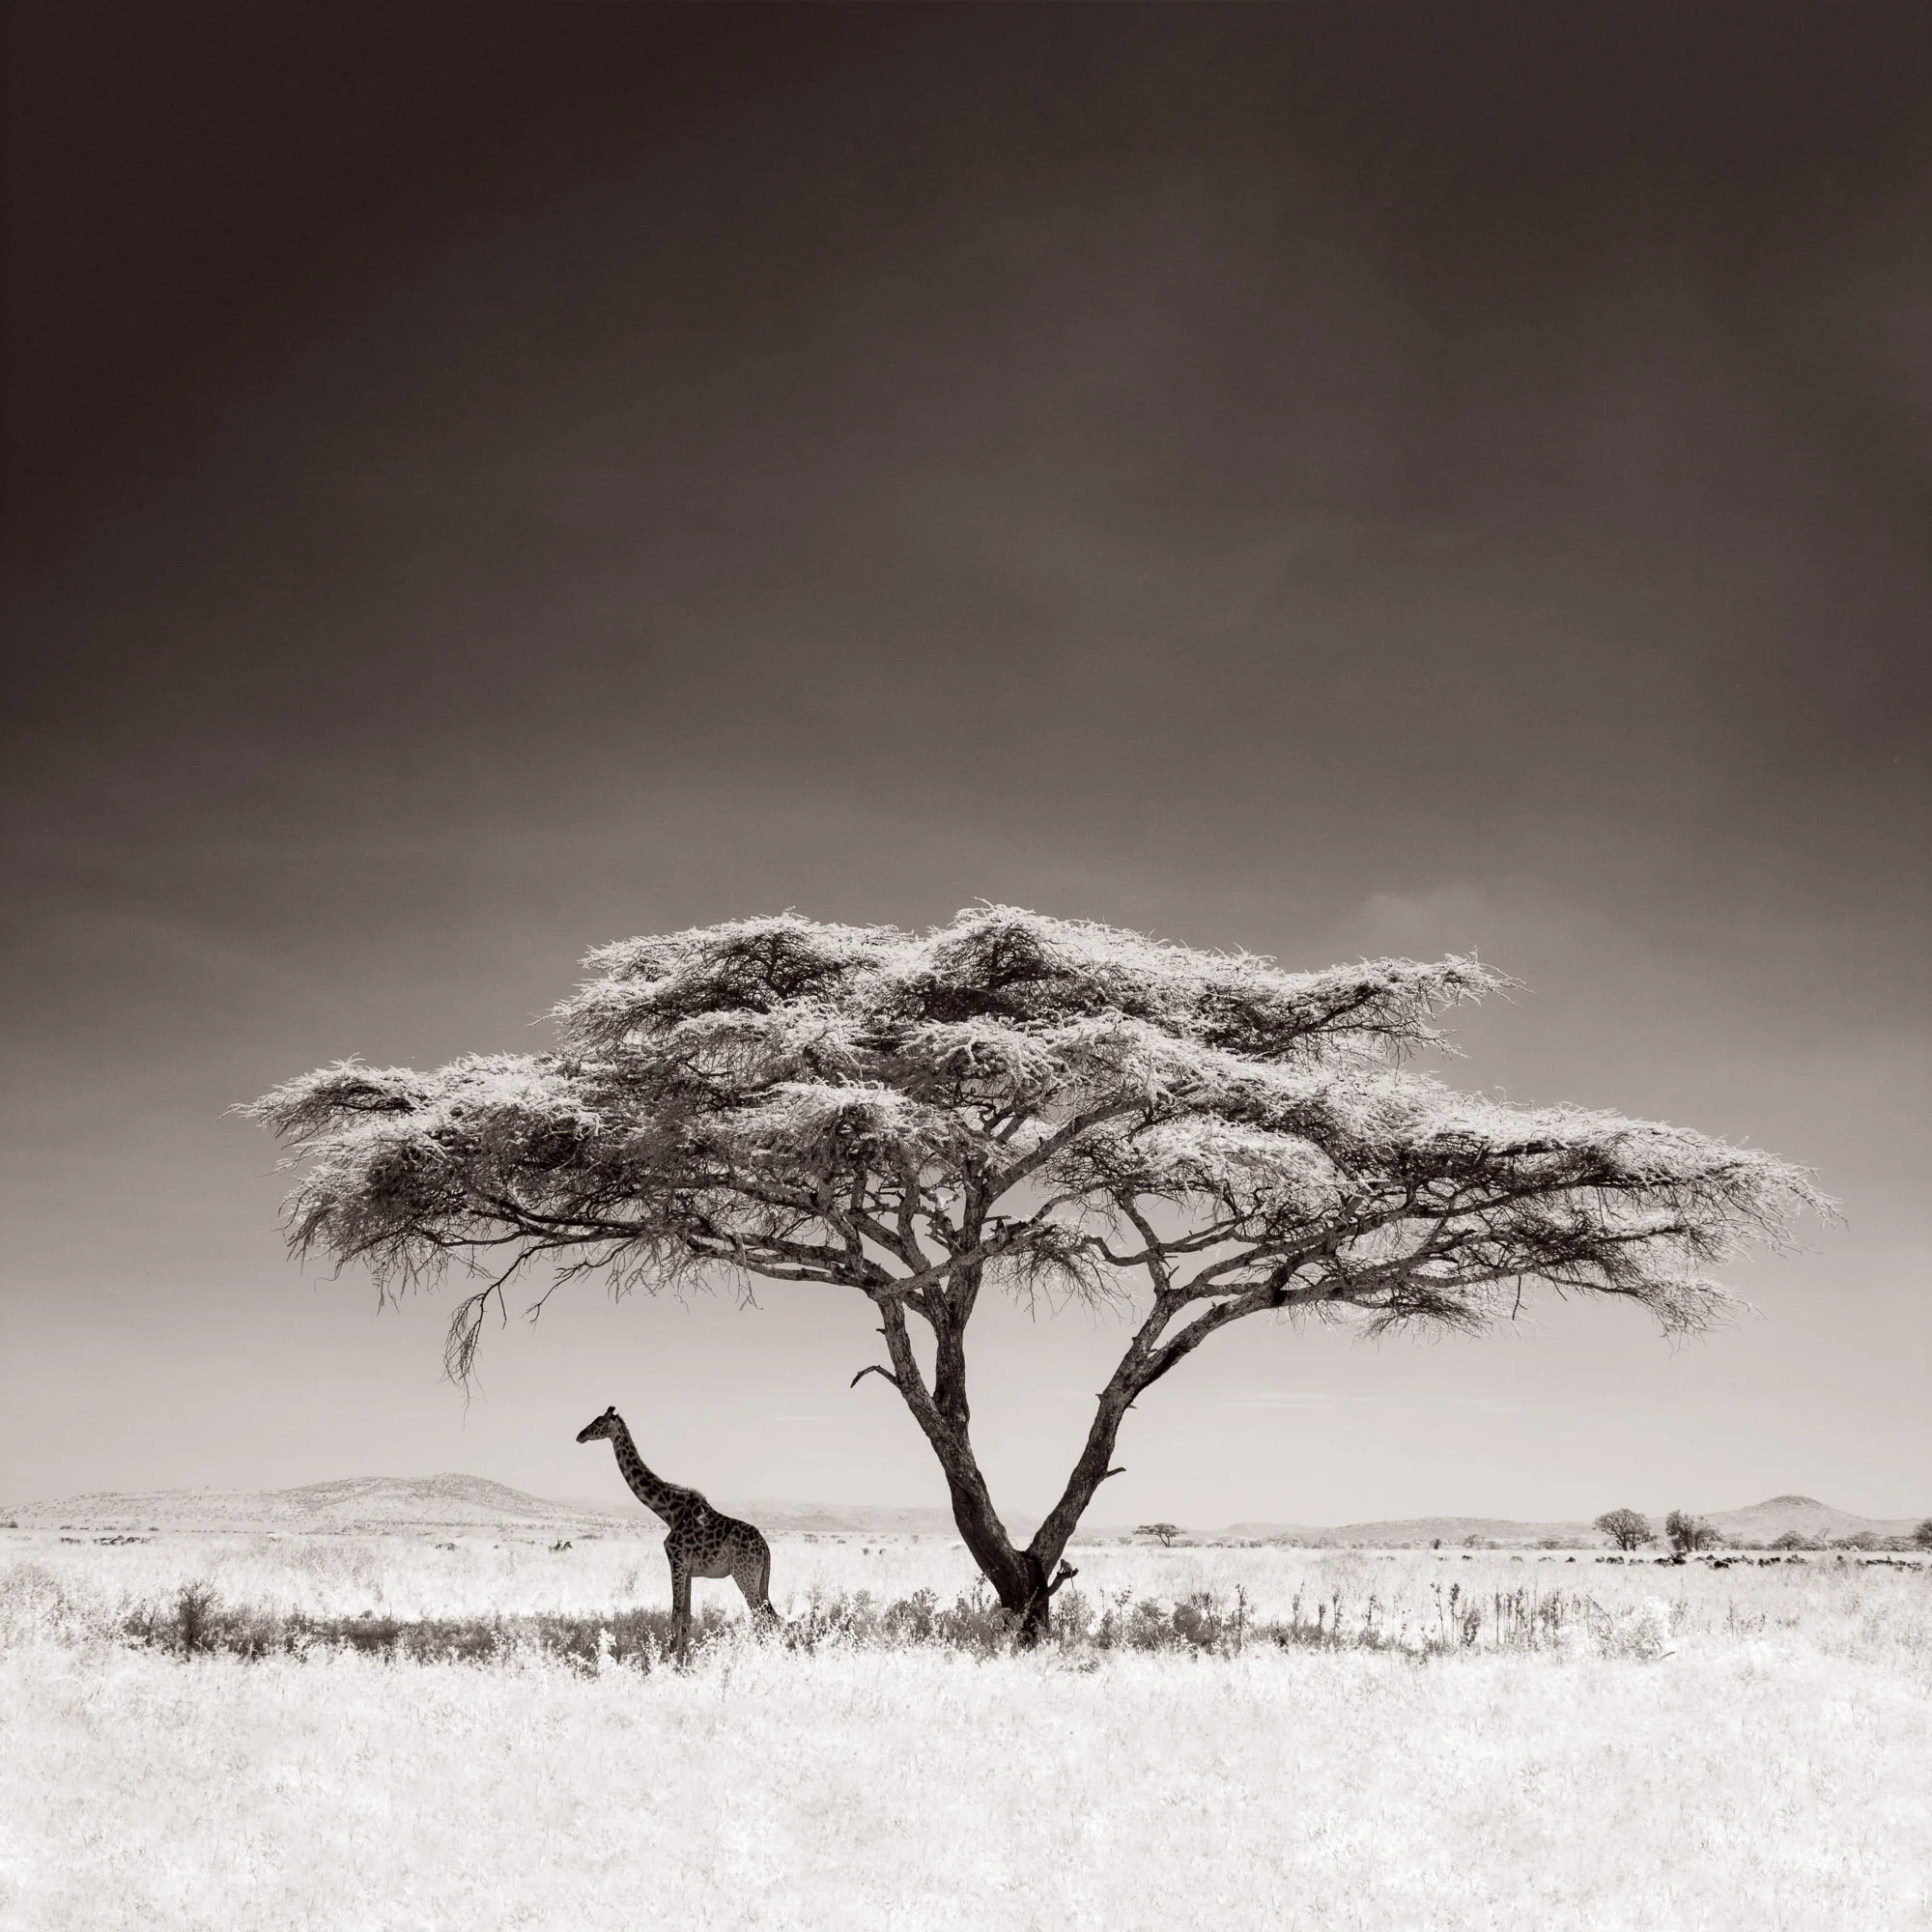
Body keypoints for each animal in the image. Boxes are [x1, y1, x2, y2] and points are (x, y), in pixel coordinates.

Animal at [575, 1406, 777, 1661]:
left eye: (599, 1422)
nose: (580, 1435)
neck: (668, 1511)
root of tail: (766, 1548)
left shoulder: (677, 1561)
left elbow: (676, 1612)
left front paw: (669, 1659)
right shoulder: (688, 1569)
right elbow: (687, 1616)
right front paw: (685, 1660)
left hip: (744, 1574)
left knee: (761, 1615)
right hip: (758, 1577)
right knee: (770, 1614)